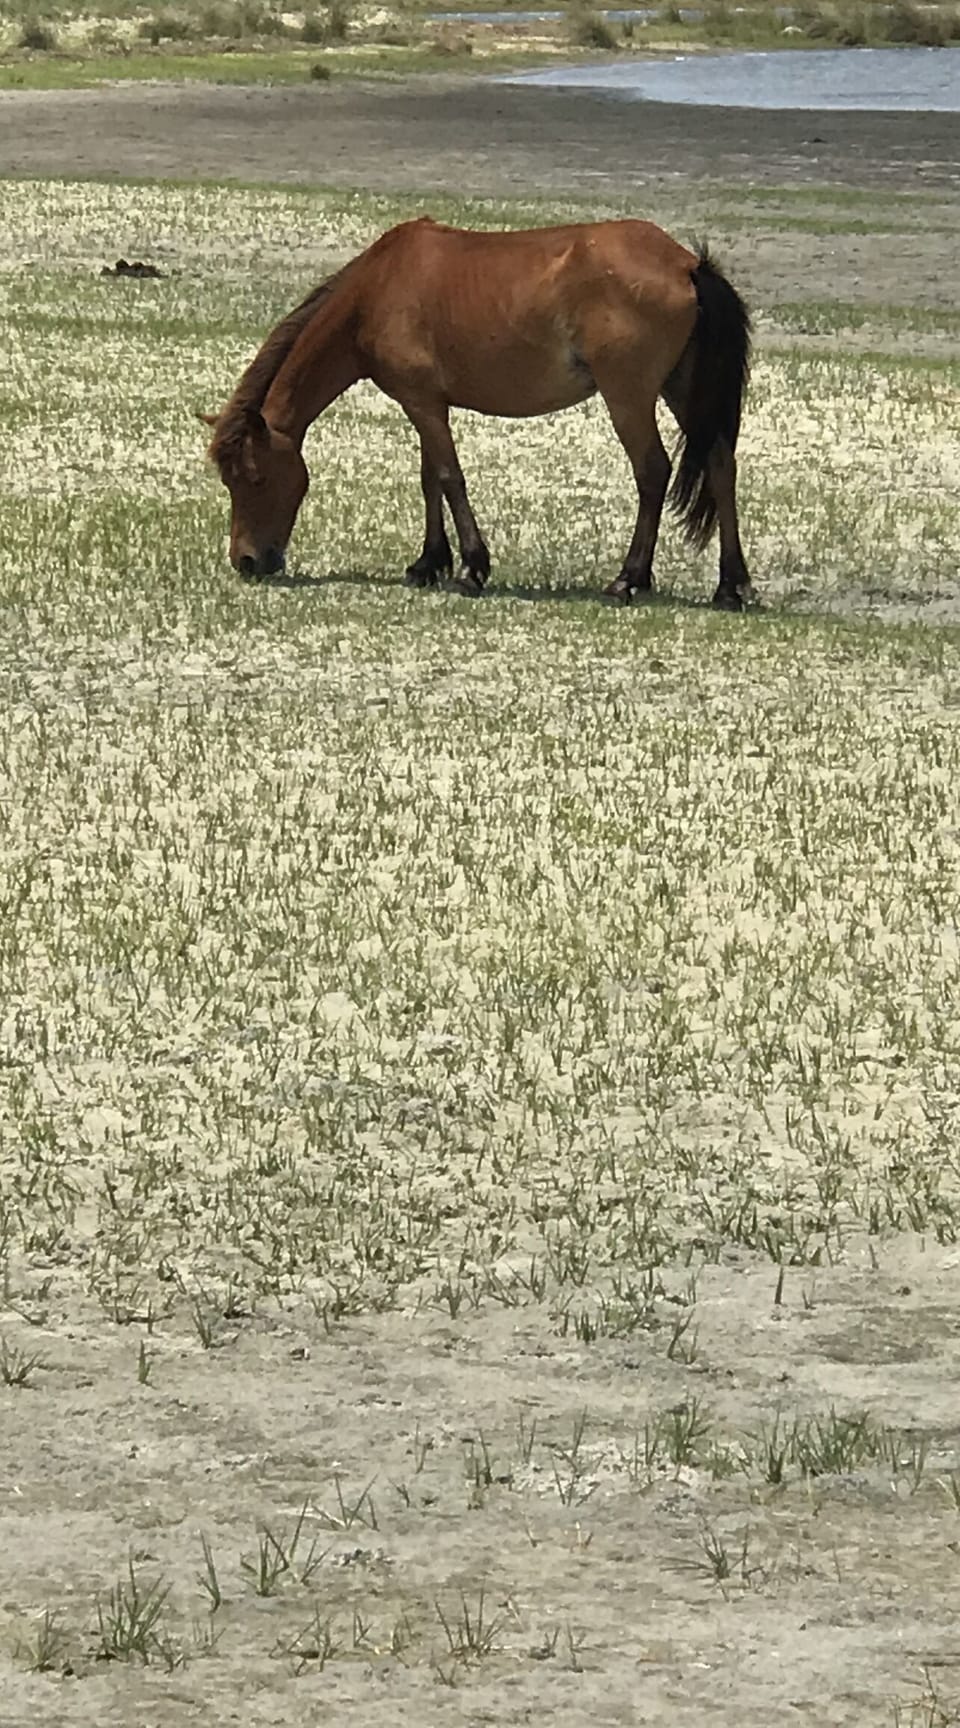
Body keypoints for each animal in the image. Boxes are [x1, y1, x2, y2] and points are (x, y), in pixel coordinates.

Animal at [202, 215, 753, 609]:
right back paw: (732, 587)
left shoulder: (423, 402)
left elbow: (449, 477)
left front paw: (471, 568)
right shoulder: (425, 404)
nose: (246, 560)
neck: (376, 291)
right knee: (721, 466)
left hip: (629, 397)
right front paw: (428, 563)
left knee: (652, 472)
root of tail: (687, 264)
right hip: (682, 390)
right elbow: (429, 478)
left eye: (254, 478)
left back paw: (628, 579)